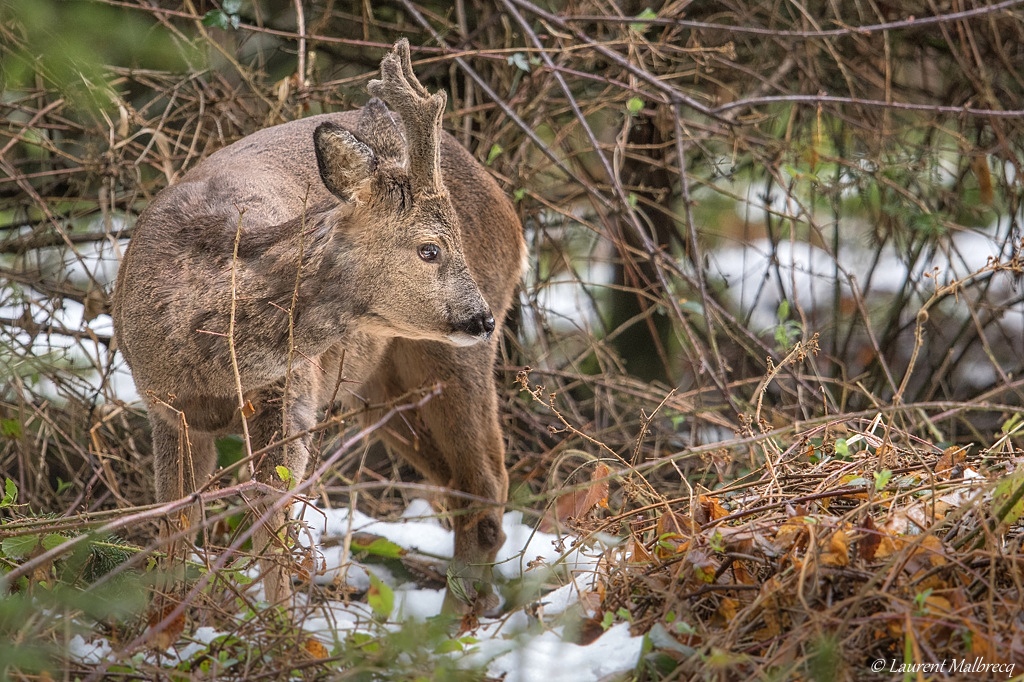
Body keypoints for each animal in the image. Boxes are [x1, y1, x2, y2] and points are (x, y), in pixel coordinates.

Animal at [114, 39, 520, 614]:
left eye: (452, 241)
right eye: (430, 248)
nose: (480, 317)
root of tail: (512, 215)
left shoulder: (289, 399)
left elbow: (269, 527)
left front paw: (279, 624)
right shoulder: (166, 409)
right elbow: (175, 528)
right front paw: (165, 620)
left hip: (447, 358)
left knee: (486, 484)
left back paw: (457, 620)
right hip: (381, 384)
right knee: (462, 487)